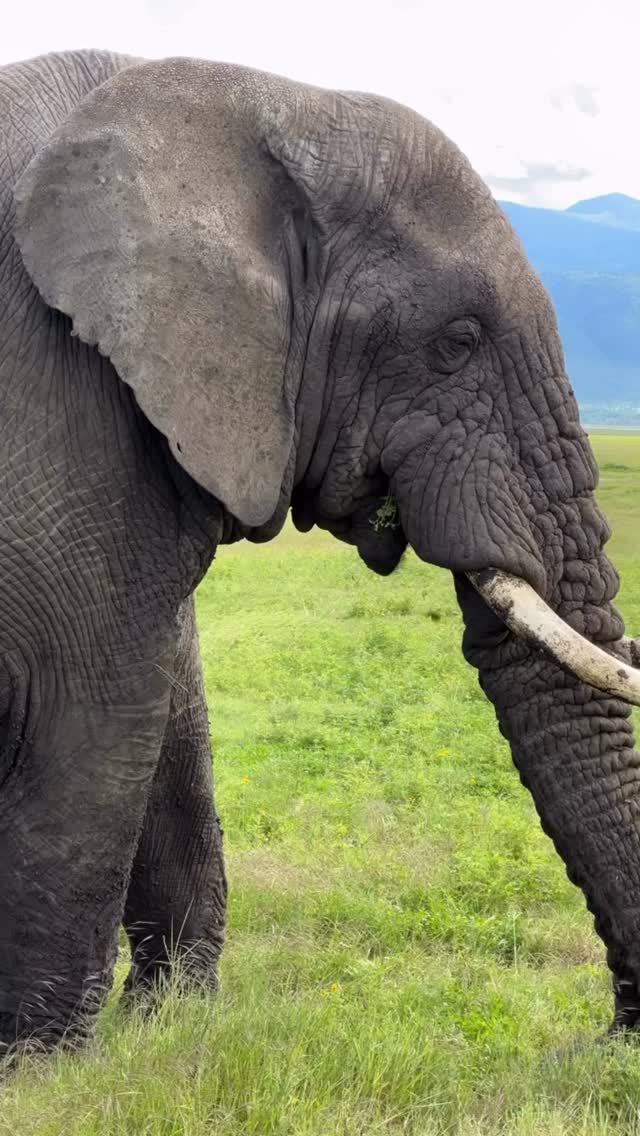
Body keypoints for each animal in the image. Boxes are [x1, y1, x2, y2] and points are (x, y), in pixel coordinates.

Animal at [0, 48, 639, 1051]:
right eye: (457, 342)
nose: (604, 1042)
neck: (265, 104)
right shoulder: (65, 411)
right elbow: (91, 714)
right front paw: (44, 1067)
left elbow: (167, 708)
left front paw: (165, 1028)